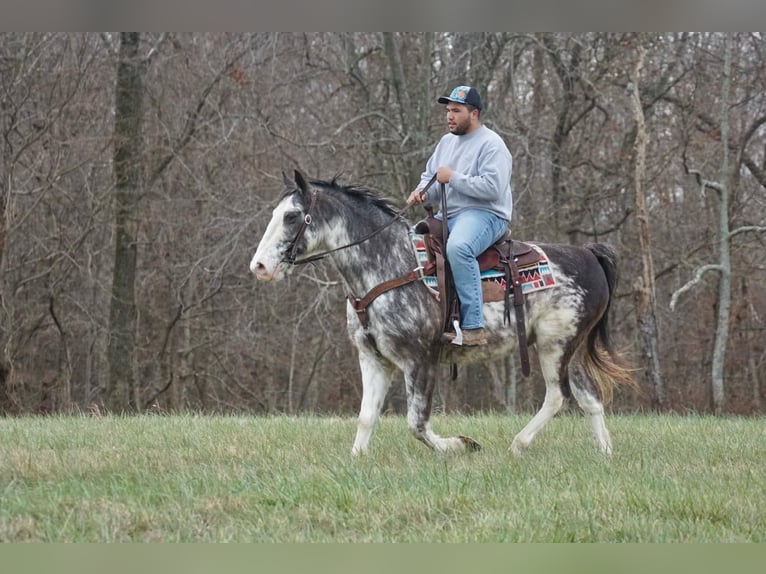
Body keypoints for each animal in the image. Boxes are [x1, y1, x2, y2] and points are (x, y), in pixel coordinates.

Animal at [250, 171, 636, 460]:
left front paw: (461, 444)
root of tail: (589, 255)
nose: (259, 266)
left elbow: (417, 424)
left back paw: (517, 445)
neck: (391, 265)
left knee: (558, 396)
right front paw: (356, 459)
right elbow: (366, 417)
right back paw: (605, 453)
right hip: (570, 348)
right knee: (589, 398)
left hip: (554, 346)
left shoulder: (420, 359)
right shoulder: (373, 359)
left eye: (292, 216)